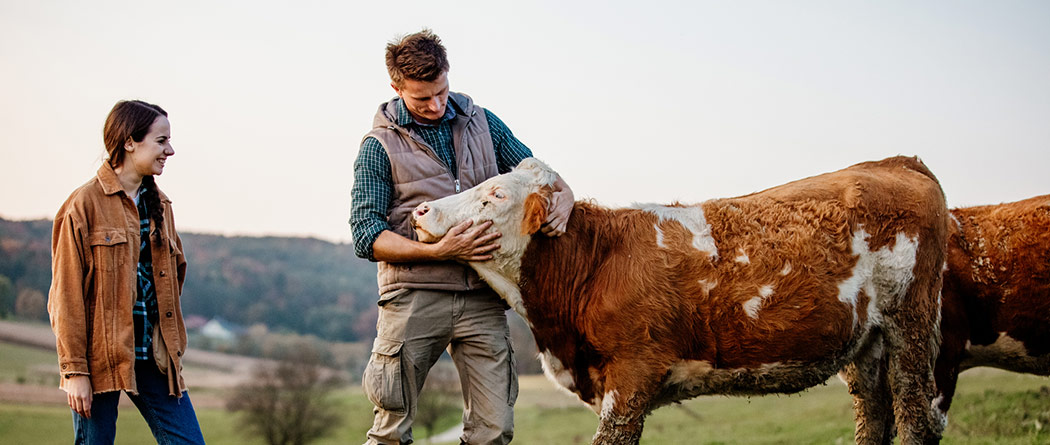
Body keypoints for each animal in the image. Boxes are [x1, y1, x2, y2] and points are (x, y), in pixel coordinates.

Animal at [411, 156, 953, 440]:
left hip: (909, 325)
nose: (420, 210)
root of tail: (894, 162)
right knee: (876, 414)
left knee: (914, 415)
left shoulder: (632, 375)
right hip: (866, 345)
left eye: (495, 196)